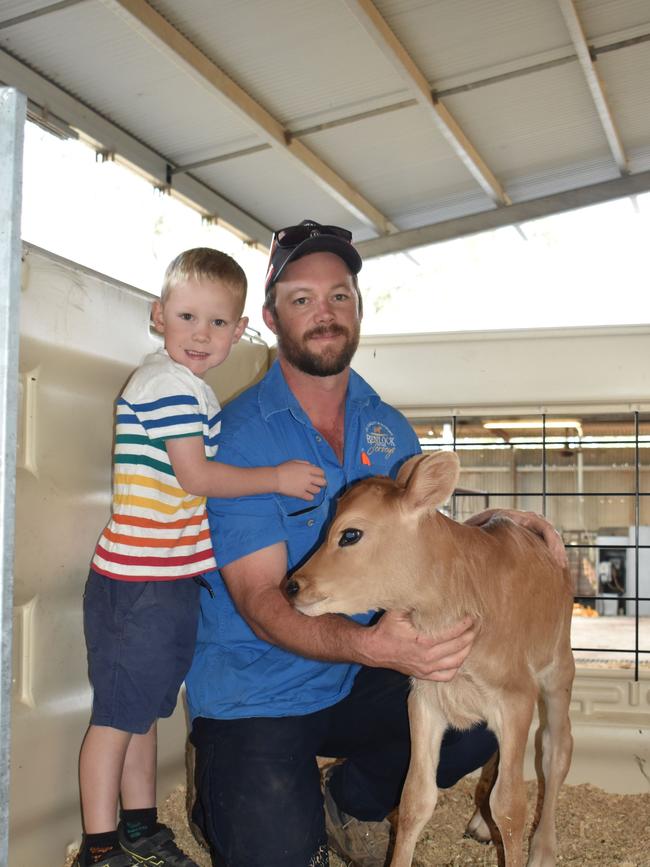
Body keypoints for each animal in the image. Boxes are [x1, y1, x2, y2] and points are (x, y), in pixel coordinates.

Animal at [288, 450, 572, 864]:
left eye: (350, 534)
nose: (292, 586)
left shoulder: (516, 698)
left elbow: (510, 805)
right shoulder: (424, 698)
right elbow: (414, 799)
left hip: (558, 668)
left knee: (554, 749)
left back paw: (545, 848)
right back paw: (481, 822)